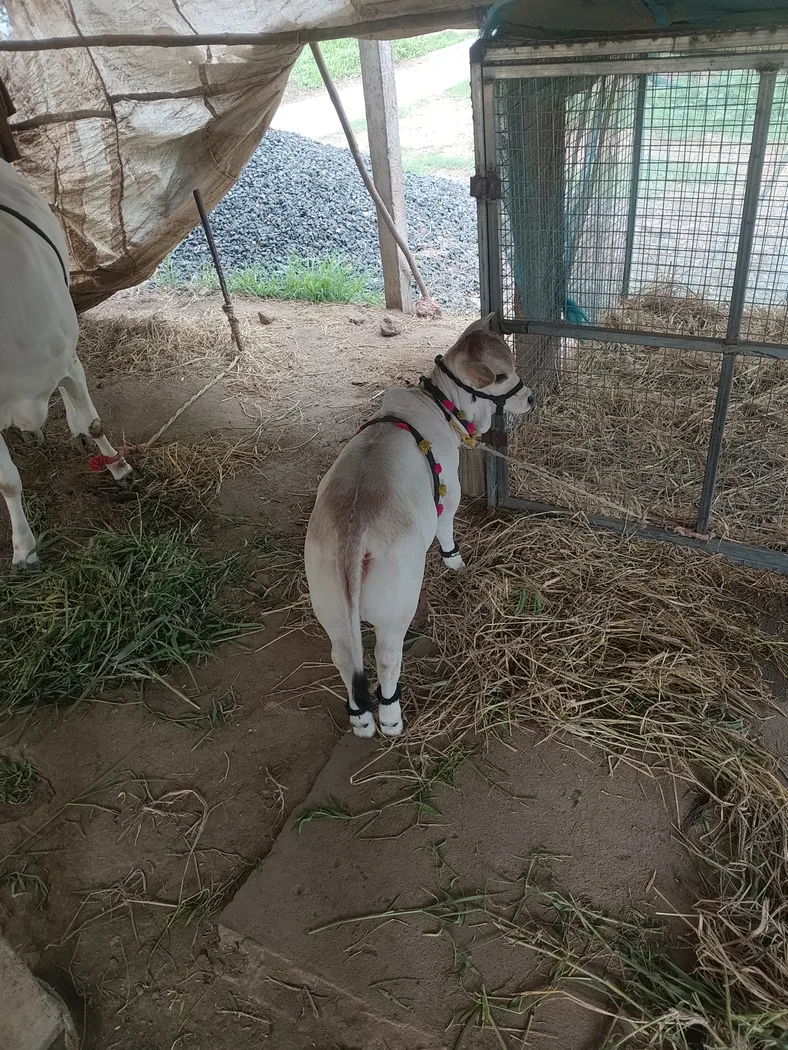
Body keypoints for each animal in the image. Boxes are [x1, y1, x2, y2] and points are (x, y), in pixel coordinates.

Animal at [305, 316, 534, 738]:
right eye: (500, 375)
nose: (530, 398)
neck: (437, 406)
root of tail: (352, 532)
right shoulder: (450, 491)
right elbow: (446, 528)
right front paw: (455, 562)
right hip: (396, 608)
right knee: (386, 657)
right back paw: (390, 717)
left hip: (327, 604)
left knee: (344, 656)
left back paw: (361, 720)